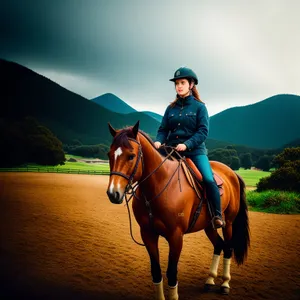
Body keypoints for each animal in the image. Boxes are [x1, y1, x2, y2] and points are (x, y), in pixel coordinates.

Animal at [106, 120, 251, 298]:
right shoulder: (148, 234)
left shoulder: (176, 237)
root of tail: (232, 173)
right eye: (109, 154)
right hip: (209, 226)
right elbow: (156, 272)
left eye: (131, 156)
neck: (160, 184)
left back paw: (225, 284)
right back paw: (210, 280)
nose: (113, 193)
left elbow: (171, 272)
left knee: (228, 248)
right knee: (219, 245)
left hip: (228, 223)